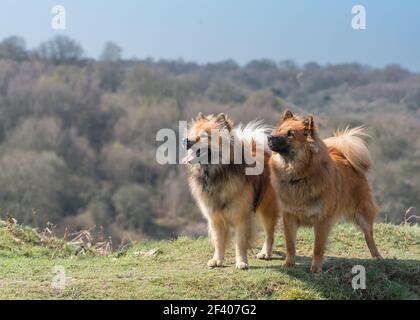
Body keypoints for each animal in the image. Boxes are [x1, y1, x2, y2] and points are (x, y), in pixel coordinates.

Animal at [183, 114, 278, 268]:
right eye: (191, 134)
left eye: (203, 136)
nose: (185, 140)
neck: (217, 173)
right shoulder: (215, 218)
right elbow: (218, 242)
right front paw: (217, 260)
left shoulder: (241, 217)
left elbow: (240, 242)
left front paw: (241, 262)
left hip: (267, 208)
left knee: (270, 233)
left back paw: (265, 253)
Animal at [268, 110, 382, 272]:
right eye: (278, 131)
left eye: (290, 134)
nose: (269, 137)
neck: (299, 176)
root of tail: (343, 156)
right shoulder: (289, 217)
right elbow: (290, 245)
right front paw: (289, 264)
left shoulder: (321, 220)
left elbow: (318, 247)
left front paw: (316, 269)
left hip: (362, 213)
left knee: (369, 235)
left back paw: (376, 255)